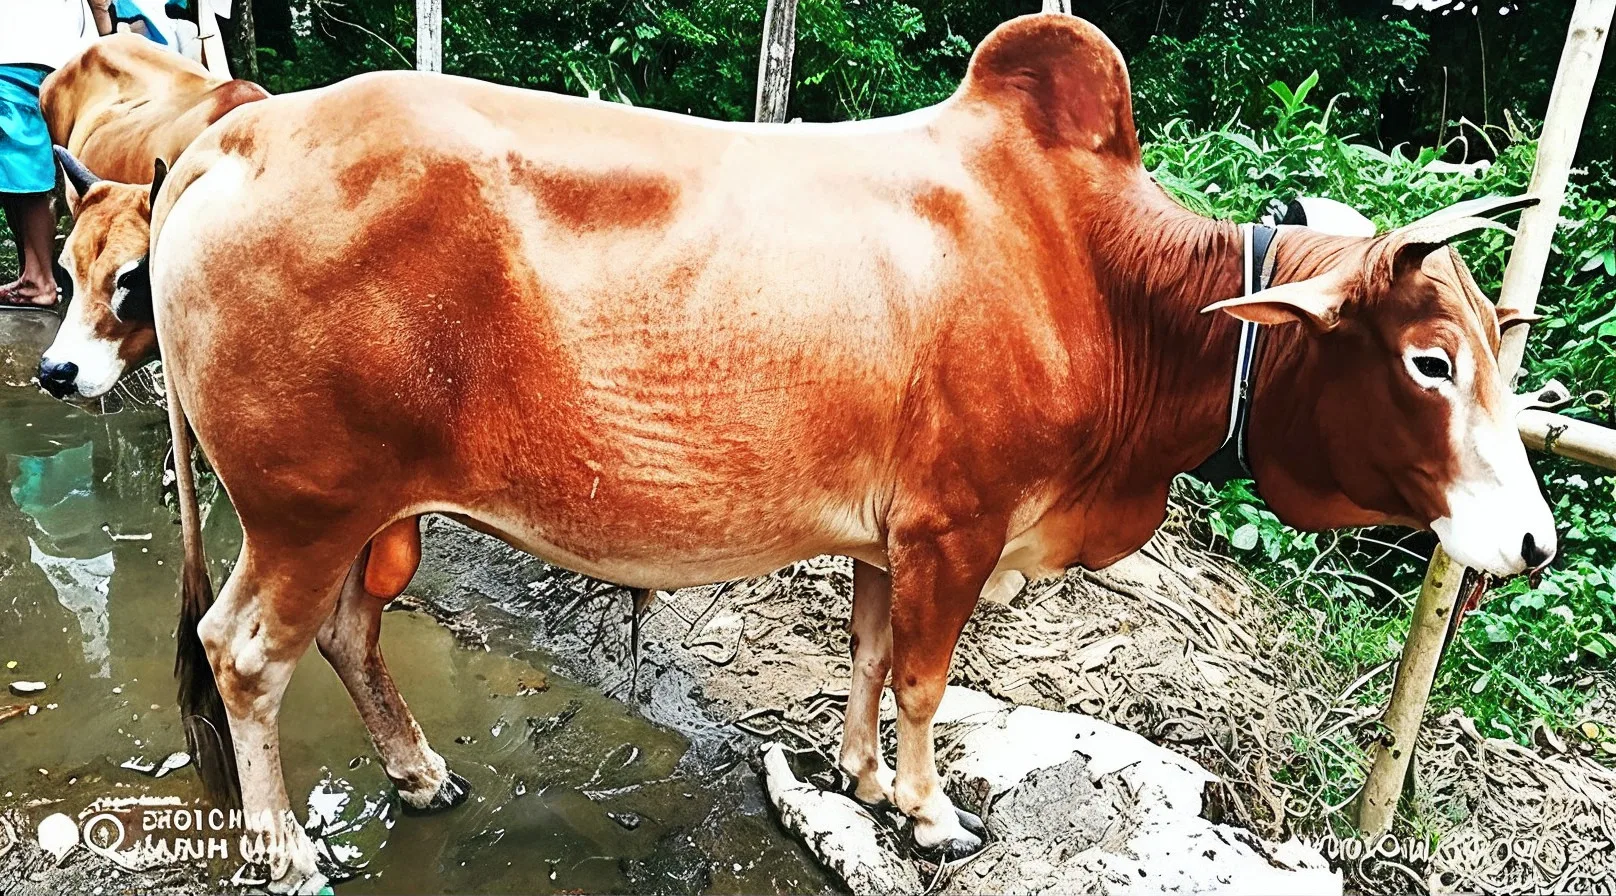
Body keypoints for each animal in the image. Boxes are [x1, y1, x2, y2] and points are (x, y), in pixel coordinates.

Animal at [143, 14, 1554, 892]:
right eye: (1427, 359)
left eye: (1495, 342)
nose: (1535, 541)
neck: (1106, 286)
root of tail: (228, 135)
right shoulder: (958, 525)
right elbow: (926, 678)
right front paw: (929, 812)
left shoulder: (894, 536)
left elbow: (871, 659)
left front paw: (866, 777)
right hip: (302, 505)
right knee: (243, 652)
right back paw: (284, 846)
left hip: (360, 514)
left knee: (346, 631)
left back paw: (420, 772)